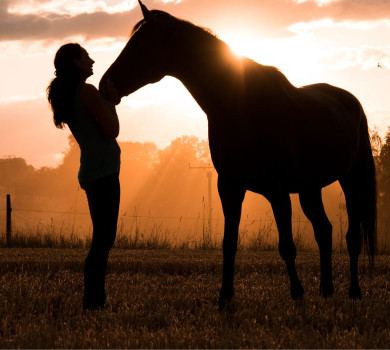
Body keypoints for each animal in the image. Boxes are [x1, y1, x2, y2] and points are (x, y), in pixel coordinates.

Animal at [99, 1, 376, 310]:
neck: (242, 104)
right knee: (324, 231)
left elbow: (287, 246)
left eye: (140, 44)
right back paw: (326, 289)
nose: (105, 83)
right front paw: (225, 297)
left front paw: (296, 293)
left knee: (352, 237)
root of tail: (349, 101)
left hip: (351, 181)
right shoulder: (229, 186)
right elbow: (229, 243)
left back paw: (354, 291)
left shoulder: (277, 190)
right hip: (310, 188)